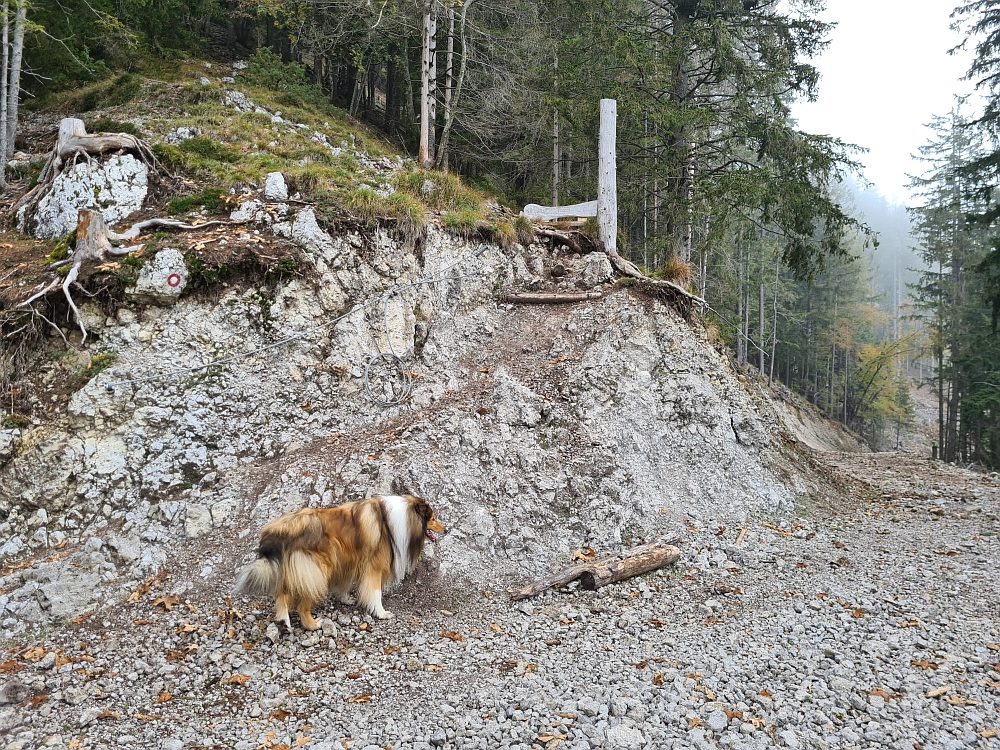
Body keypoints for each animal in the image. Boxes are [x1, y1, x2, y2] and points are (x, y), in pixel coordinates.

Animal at [234, 496, 446, 632]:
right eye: (433, 518)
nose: (446, 529)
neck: (395, 521)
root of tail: (284, 527)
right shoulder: (374, 566)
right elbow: (375, 592)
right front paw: (381, 613)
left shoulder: (350, 560)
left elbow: (345, 583)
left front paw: (346, 599)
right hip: (317, 569)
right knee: (300, 602)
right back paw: (311, 624)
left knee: (284, 591)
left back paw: (283, 619)